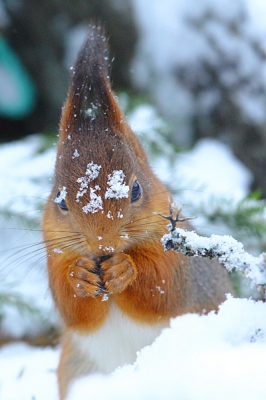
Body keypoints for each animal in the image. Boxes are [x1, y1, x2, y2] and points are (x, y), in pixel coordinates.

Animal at [42, 25, 232, 400]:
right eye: (60, 201)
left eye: (135, 190)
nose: (102, 246)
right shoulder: (53, 249)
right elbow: (73, 307)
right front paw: (79, 276)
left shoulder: (177, 259)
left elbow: (161, 288)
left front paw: (124, 269)